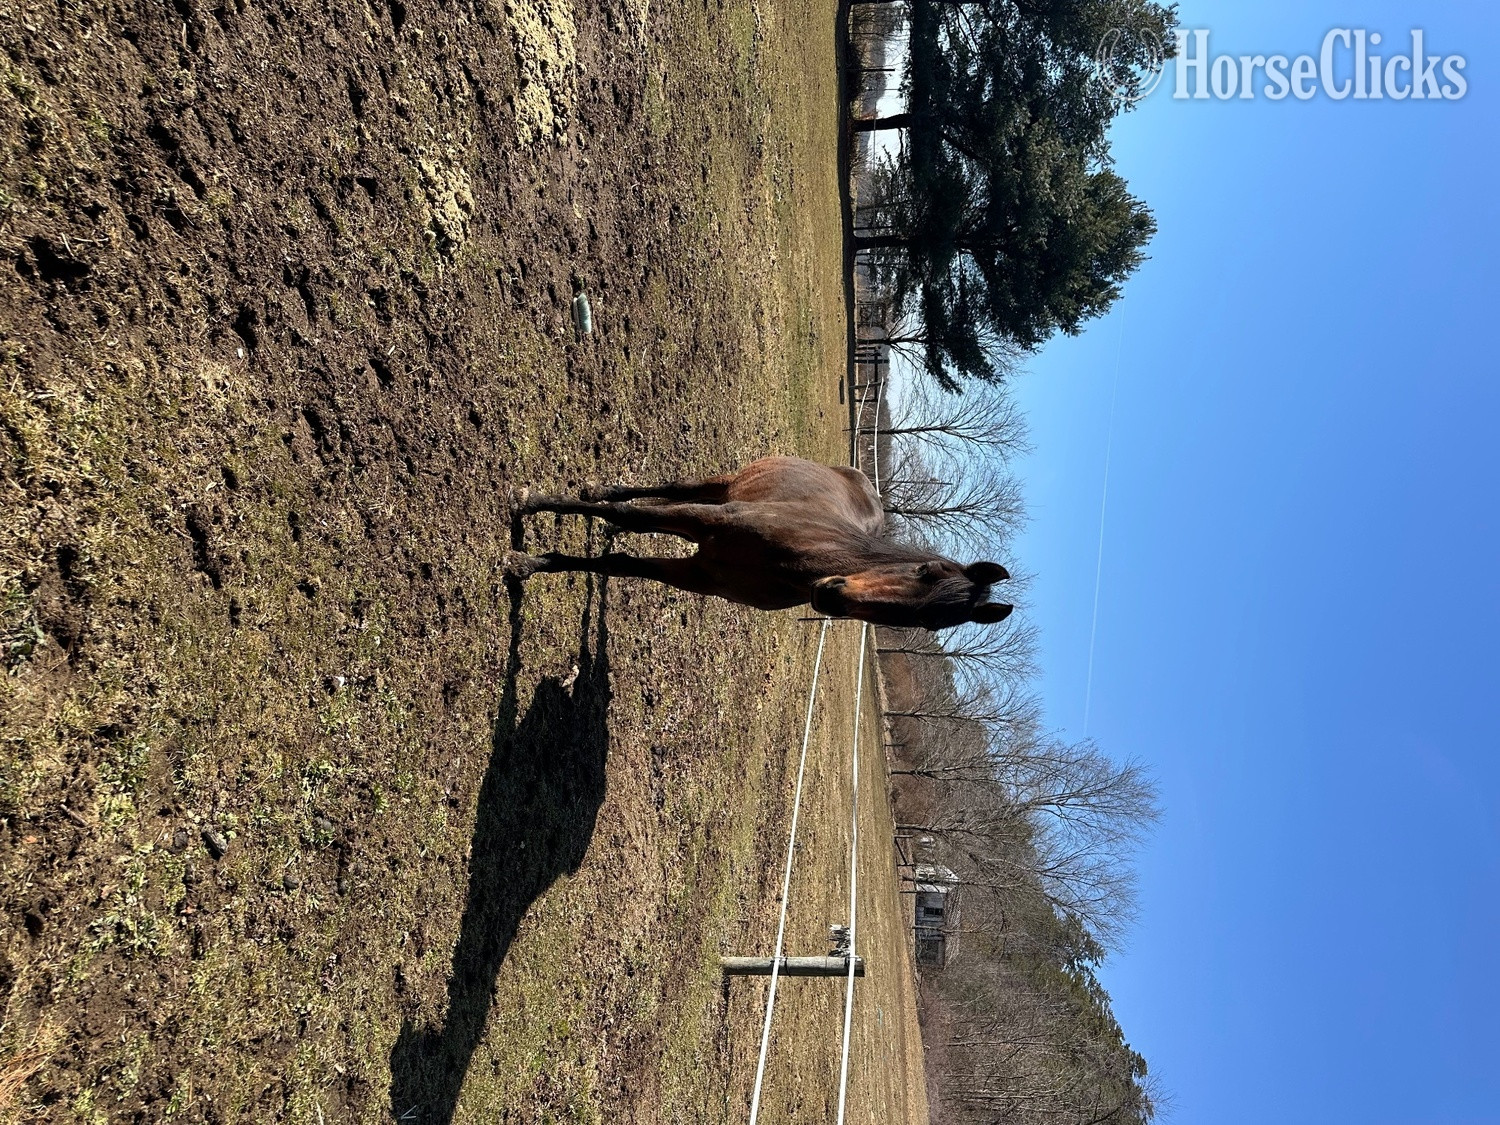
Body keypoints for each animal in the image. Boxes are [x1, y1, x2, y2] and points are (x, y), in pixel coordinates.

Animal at [507, 456, 1013, 631]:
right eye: (925, 570)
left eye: (928, 623)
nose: (832, 599)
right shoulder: (703, 521)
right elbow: (627, 515)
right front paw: (531, 505)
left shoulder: (699, 573)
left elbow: (619, 564)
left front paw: (533, 564)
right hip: (721, 485)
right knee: (669, 488)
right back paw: (598, 490)